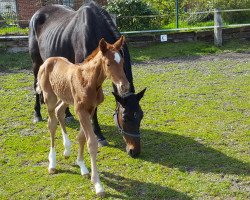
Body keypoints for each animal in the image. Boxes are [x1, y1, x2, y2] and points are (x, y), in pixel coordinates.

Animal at [36, 36, 129, 196]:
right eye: (108, 64)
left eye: (122, 62)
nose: (124, 86)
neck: (89, 81)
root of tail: (47, 61)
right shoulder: (80, 110)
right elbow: (91, 142)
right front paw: (97, 184)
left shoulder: (90, 109)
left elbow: (82, 137)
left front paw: (82, 166)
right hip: (50, 98)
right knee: (52, 123)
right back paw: (52, 163)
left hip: (66, 98)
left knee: (59, 112)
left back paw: (67, 150)